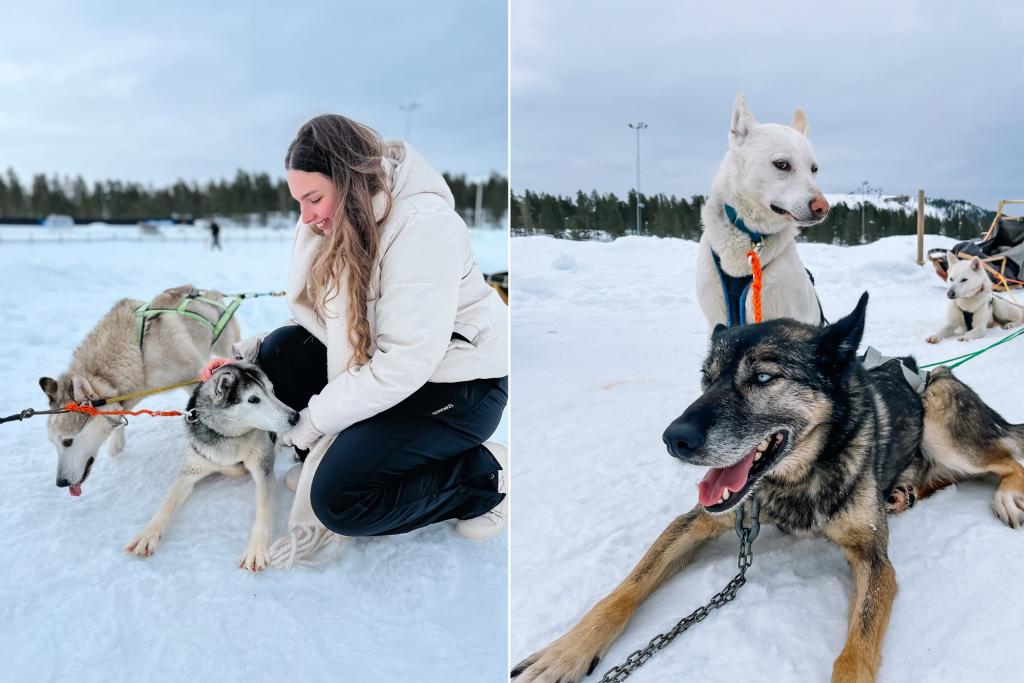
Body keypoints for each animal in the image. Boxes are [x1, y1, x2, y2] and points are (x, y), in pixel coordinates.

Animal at [37, 282, 241, 497]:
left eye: (67, 441)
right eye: (53, 443)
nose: (60, 482)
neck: (139, 355)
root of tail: (207, 292)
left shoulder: (193, 378)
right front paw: (117, 442)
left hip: (227, 347)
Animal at [124, 362, 299, 573]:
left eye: (272, 391)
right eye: (253, 399)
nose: (295, 417)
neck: (230, 438)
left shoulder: (263, 468)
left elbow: (263, 512)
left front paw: (256, 549)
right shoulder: (190, 471)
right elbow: (166, 503)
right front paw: (148, 534)